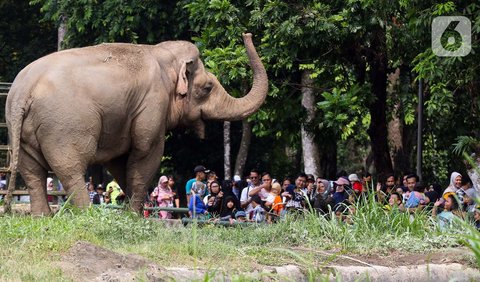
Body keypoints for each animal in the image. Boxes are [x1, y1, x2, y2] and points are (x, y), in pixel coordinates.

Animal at [4, 33, 266, 215]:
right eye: (208, 87)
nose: (247, 34)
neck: (162, 53)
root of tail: (21, 91)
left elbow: (120, 161)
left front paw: (132, 211)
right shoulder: (152, 104)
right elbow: (145, 153)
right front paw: (135, 216)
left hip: (21, 129)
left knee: (32, 172)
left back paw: (42, 217)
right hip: (65, 125)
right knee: (70, 169)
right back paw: (87, 215)